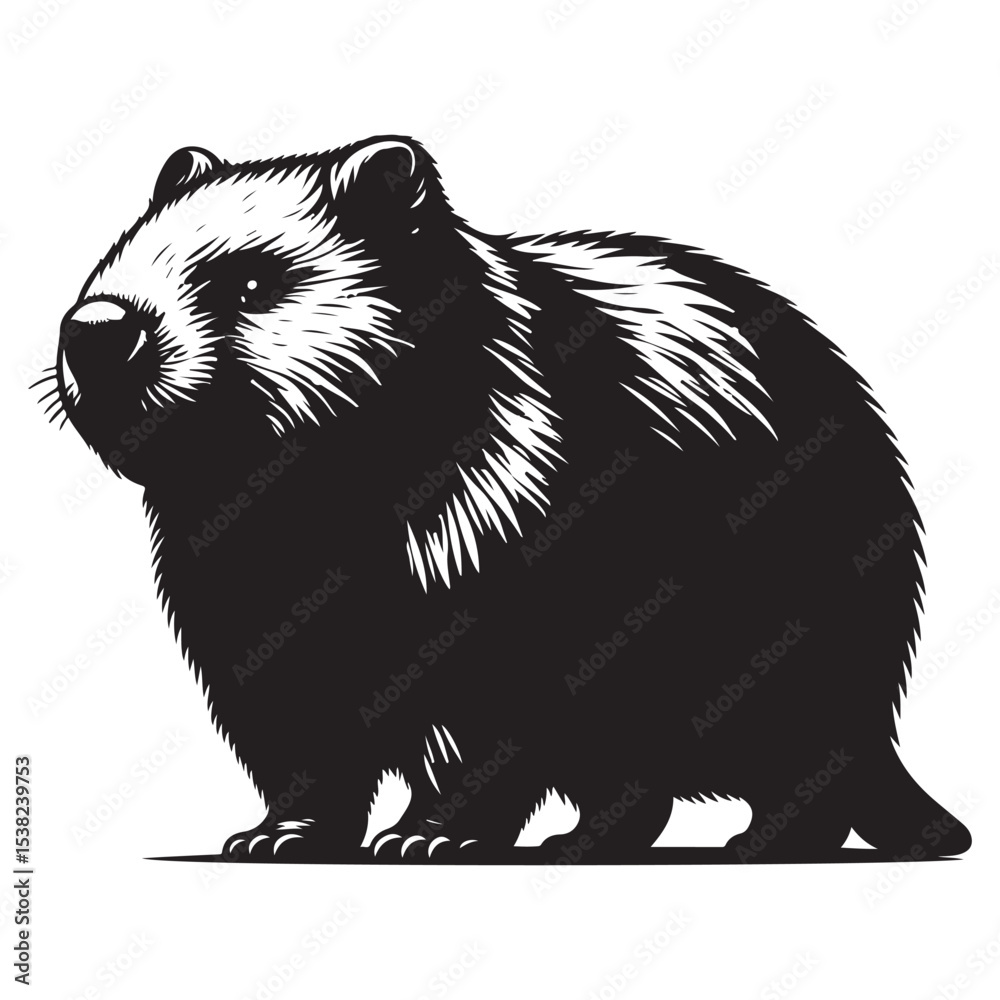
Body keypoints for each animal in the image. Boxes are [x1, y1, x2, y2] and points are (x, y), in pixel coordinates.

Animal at [43, 136, 971, 863]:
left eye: (247, 282)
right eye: (118, 256)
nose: (96, 327)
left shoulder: (504, 555)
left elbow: (484, 727)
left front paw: (431, 834)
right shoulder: (244, 609)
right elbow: (302, 732)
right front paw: (278, 835)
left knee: (791, 767)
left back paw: (756, 838)